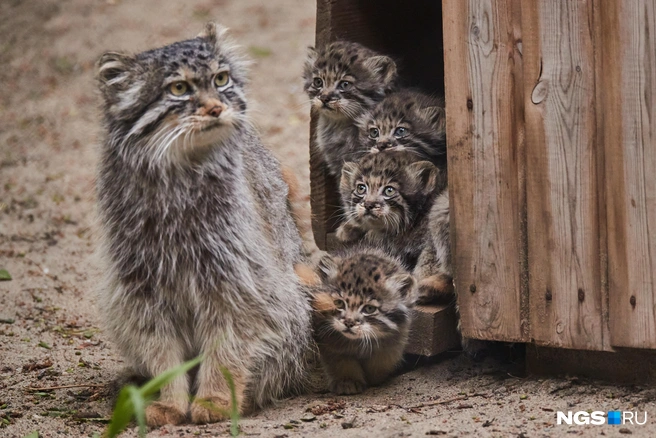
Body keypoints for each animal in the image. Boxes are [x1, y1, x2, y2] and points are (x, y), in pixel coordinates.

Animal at [95, 23, 316, 424]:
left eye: (221, 79)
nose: (216, 107)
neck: (179, 178)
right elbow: (162, 351)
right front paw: (169, 400)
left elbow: (227, 348)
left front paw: (214, 398)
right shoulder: (139, 287)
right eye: (179, 88)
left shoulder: (237, 280)